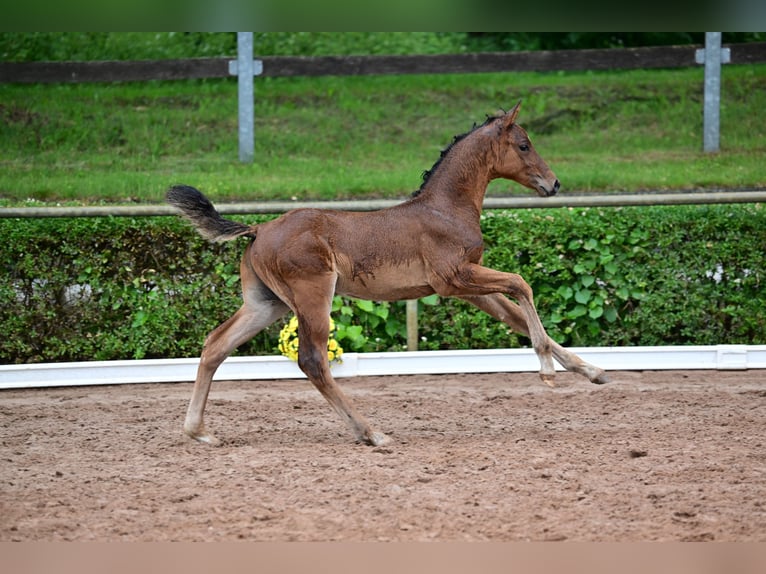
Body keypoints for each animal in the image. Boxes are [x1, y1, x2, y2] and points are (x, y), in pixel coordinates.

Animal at [168, 101, 612, 448]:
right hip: (313, 296)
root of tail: (258, 228)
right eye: (523, 145)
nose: (554, 183)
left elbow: (516, 315)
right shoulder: (453, 278)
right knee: (312, 360)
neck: (444, 208)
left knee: (215, 344)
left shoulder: (468, 286)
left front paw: (593, 372)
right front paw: (547, 373)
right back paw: (370, 432)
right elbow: (523, 285)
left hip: (267, 303)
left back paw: (199, 431)